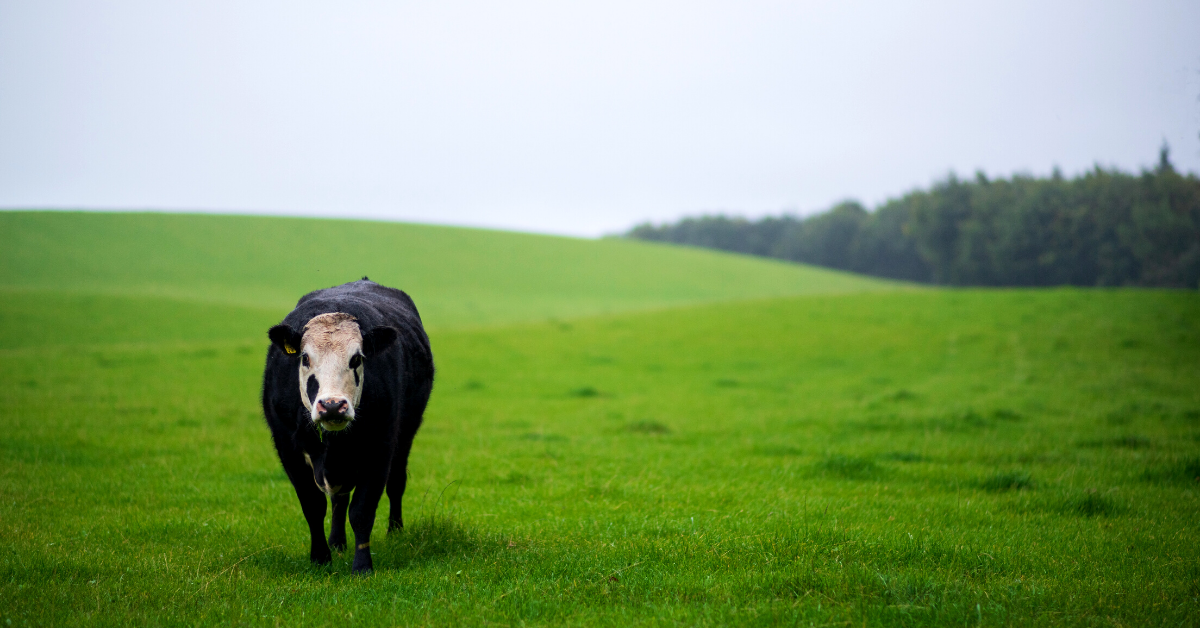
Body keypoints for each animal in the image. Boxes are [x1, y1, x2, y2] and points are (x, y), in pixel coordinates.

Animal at [262, 277, 436, 571]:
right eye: (305, 358)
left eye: (356, 358)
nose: (332, 405)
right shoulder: (287, 447)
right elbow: (313, 505)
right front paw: (321, 558)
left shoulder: (381, 445)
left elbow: (362, 511)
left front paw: (362, 566)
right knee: (338, 499)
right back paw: (336, 542)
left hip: (405, 435)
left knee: (396, 483)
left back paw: (395, 532)